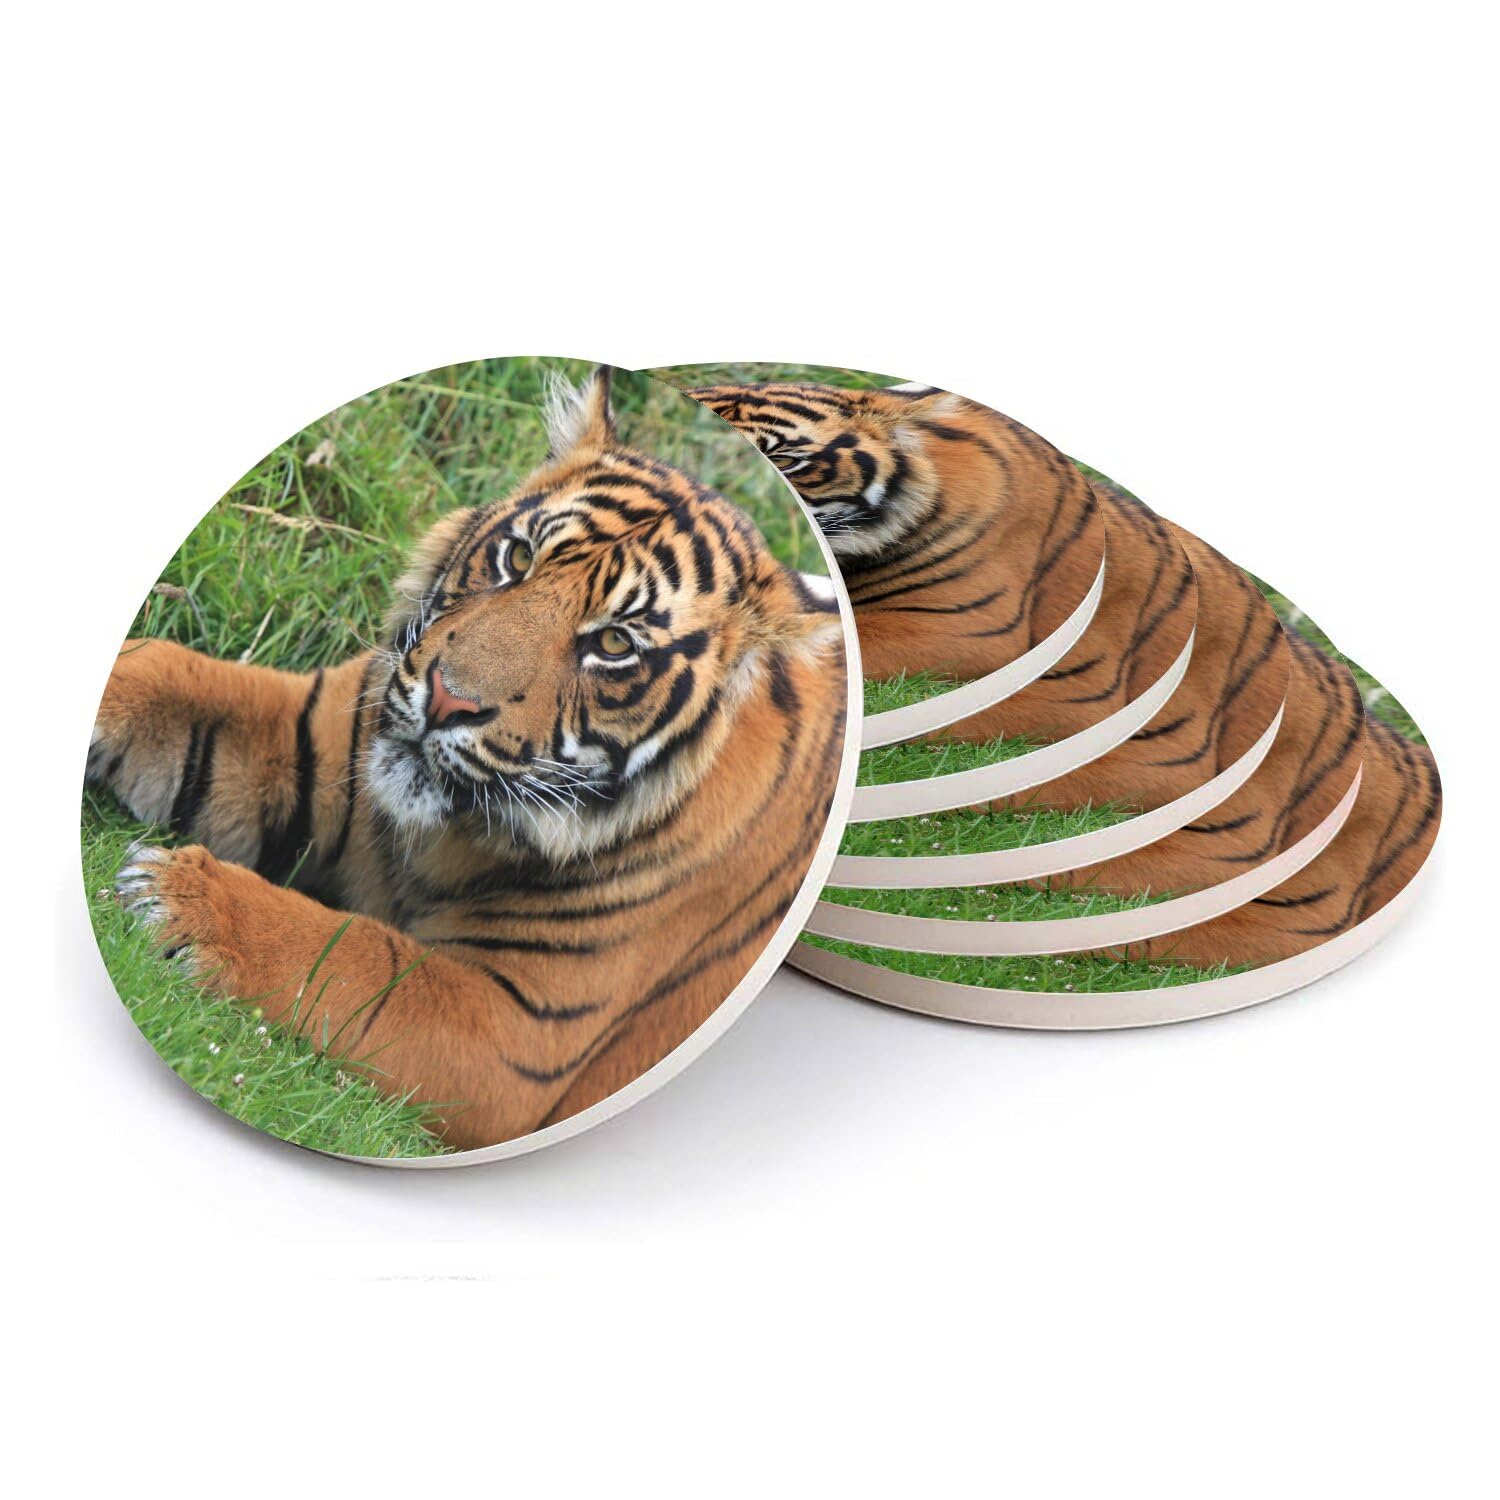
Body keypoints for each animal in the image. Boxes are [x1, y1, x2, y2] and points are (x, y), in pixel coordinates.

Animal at [88, 370, 849, 1152]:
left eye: (613, 645)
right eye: (518, 558)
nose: (449, 699)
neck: (443, 833)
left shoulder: (512, 1027)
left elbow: (352, 954)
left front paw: (179, 894)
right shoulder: (308, 738)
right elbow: (161, 673)